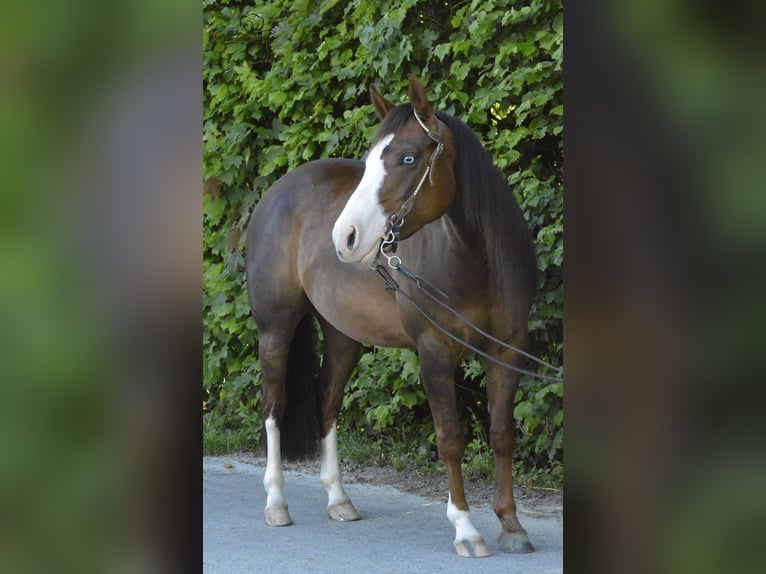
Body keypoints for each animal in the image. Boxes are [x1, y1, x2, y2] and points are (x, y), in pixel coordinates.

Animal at [245, 74, 537, 558]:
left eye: (408, 157)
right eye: (368, 163)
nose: (345, 237)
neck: (473, 259)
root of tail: (277, 192)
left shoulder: (507, 352)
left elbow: (501, 433)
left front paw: (512, 526)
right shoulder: (434, 353)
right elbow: (450, 438)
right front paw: (466, 529)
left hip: (343, 333)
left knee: (327, 400)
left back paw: (339, 499)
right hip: (276, 328)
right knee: (274, 404)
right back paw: (275, 504)